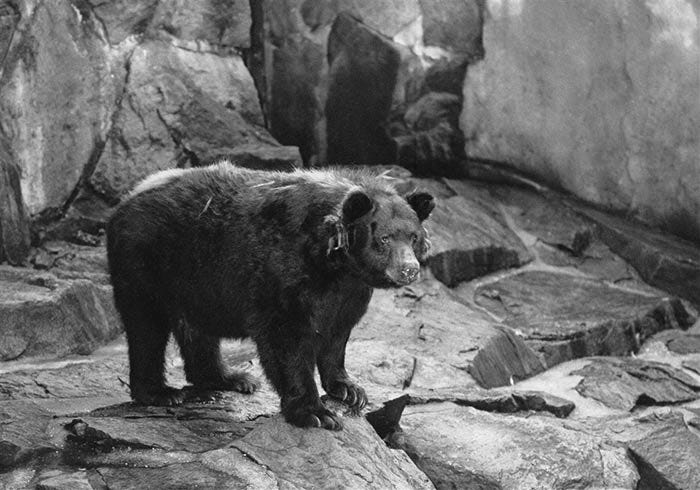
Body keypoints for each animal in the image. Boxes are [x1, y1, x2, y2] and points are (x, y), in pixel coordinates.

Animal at [106, 160, 435, 430]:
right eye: (384, 239)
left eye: (414, 236)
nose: (409, 269)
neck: (334, 263)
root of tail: (125, 201)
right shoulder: (282, 269)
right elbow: (285, 336)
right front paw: (315, 412)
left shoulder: (349, 291)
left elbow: (336, 334)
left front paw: (350, 390)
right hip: (146, 262)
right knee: (146, 328)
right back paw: (160, 392)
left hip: (192, 279)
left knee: (196, 330)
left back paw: (230, 378)